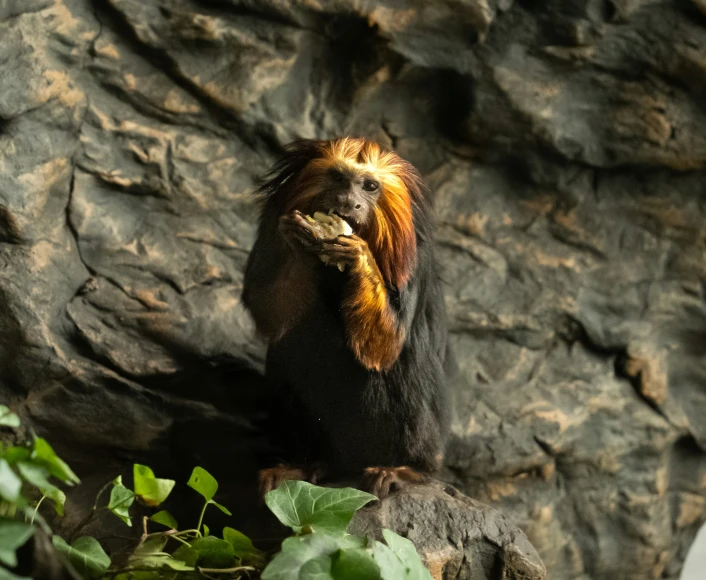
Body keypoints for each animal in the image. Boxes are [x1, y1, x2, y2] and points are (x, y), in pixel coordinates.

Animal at [241, 137, 452, 498]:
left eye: (369, 186)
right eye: (338, 178)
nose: (347, 202)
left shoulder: (413, 258)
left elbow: (387, 347)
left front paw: (358, 256)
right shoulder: (269, 231)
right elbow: (269, 314)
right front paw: (301, 238)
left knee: (399, 370)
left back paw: (409, 469)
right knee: (294, 348)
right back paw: (310, 463)